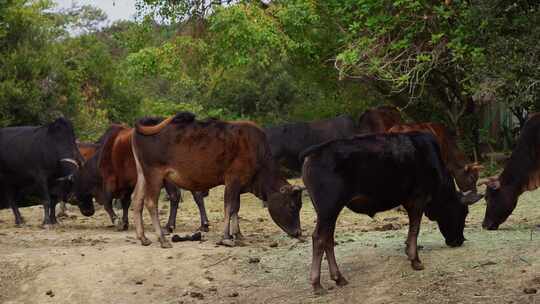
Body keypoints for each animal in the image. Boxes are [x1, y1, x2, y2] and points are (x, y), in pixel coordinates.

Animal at [75, 124, 210, 232]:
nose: (87, 212)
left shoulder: (110, 180)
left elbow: (107, 203)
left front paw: (117, 222)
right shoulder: (128, 184)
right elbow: (125, 203)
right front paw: (125, 222)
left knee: (175, 196)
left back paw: (169, 226)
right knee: (197, 195)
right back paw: (204, 224)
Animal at [130, 113, 304, 248]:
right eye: (292, 206)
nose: (298, 232)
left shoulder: (238, 185)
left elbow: (236, 208)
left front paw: (238, 234)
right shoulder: (233, 179)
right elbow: (229, 206)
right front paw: (226, 237)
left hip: (142, 174)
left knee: (137, 200)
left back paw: (143, 238)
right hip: (154, 174)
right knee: (151, 202)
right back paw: (162, 239)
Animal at [302, 132, 484, 294]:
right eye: (463, 212)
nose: (459, 240)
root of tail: (313, 153)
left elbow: (411, 230)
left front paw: (408, 251)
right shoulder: (418, 199)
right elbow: (415, 229)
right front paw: (415, 260)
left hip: (328, 212)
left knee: (328, 239)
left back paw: (339, 278)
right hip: (329, 209)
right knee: (319, 238)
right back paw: (317, 284)